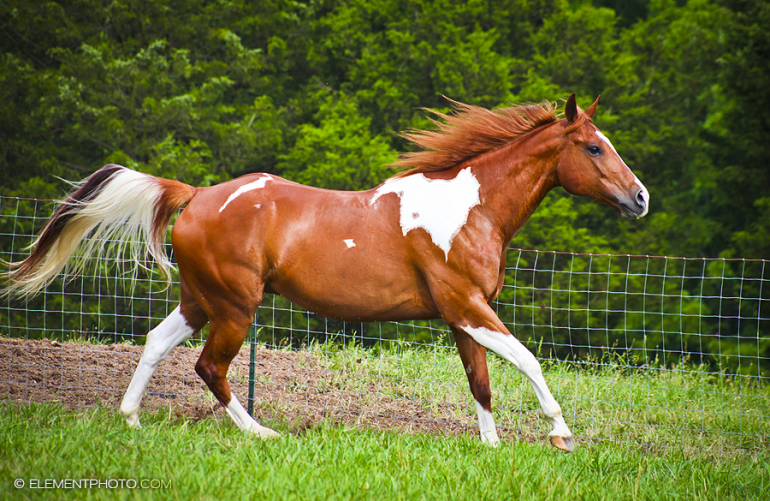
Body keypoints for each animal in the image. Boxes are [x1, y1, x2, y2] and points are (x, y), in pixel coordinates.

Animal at [1, 94, 648, 454]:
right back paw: (263, 435)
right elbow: (528, 360)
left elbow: (481, 382)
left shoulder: (463, 315)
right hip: (236, 305)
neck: (472, 208)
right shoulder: (466, 305)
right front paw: (560, 434)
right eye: (593, 147)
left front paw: (492, 447)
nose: (640, 198)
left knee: (159, 342)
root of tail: (199, 194)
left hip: (201, 299)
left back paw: (131, 419)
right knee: (210, 367)